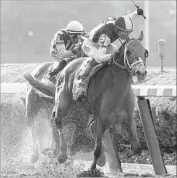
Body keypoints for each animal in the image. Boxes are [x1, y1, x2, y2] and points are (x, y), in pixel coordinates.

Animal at [23, 32, 148, 172]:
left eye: (145, 52)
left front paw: (123, 156)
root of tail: (66, 67)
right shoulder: (101, 119)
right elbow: (96, 148)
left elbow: (137, 148)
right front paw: (92, 168)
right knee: (54, 121)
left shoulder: (128, 118)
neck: (116, 91)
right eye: (129, 52)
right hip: (59, 104)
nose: (141, 72)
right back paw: (60, 155)